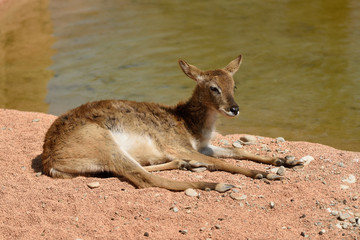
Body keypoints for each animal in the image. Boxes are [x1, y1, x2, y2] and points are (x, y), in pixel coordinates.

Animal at [40, 55, 302, 192]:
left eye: (234, 85)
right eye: (213, 87)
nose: (234, 109)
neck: (190, 124)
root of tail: (50, 161)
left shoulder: (201, 146)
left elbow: (237, 151)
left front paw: (286, 160)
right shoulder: (177, 144)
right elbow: (223, 162)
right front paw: (265, 174)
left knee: (141, 171)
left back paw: (189, 166)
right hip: (106, 145)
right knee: (144, 179)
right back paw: (216, 184)